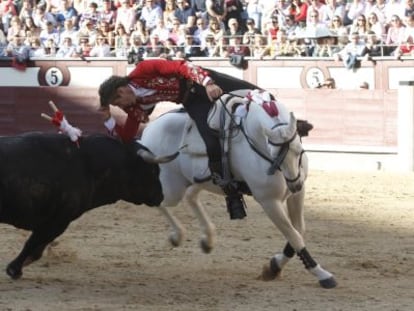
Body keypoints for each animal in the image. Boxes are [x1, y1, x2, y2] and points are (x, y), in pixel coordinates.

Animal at [0, 132, 163, 280]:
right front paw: (14, 270)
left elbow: (37, 249)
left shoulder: (54, 222)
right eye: (152, 171)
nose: (161, 196)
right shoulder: (59, 220)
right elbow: (33, 244)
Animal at [137, 91, 338, 290]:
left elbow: (299, 230)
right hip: (172, 187)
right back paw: (178, 236)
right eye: (274, 154)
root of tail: (148, 130)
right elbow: (294, 236)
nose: (294, 185)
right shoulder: (269, 201)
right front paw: (322, 274)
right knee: (158, 201)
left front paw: (273, 267)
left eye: (298, 149)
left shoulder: (297, 195)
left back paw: (207, 240)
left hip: (198, 181)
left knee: (190, 197)